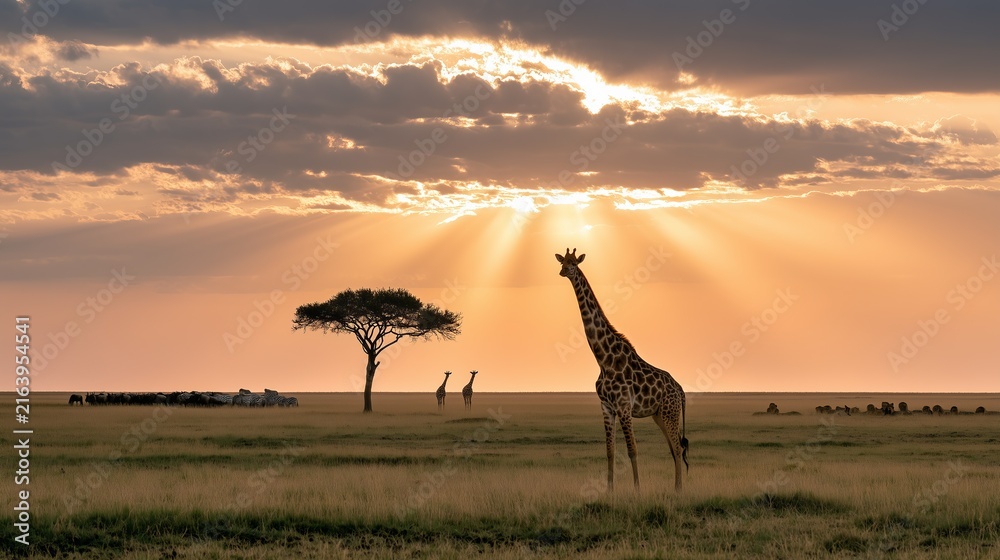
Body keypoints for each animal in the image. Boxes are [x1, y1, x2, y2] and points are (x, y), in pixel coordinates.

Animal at [555, 248, 689, 492]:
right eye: (563, 262)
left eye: (574, 263)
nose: (563, 271)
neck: (603, 359)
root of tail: (681, 391)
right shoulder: (607, 407)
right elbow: (610, 451)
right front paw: (609, 490)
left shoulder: (624, 407)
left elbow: (632, 450)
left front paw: (637, 490)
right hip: (659, 415)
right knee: (674, 449)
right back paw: (676, 488)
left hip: (670, 412)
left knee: (677, 448)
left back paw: (678, 490)